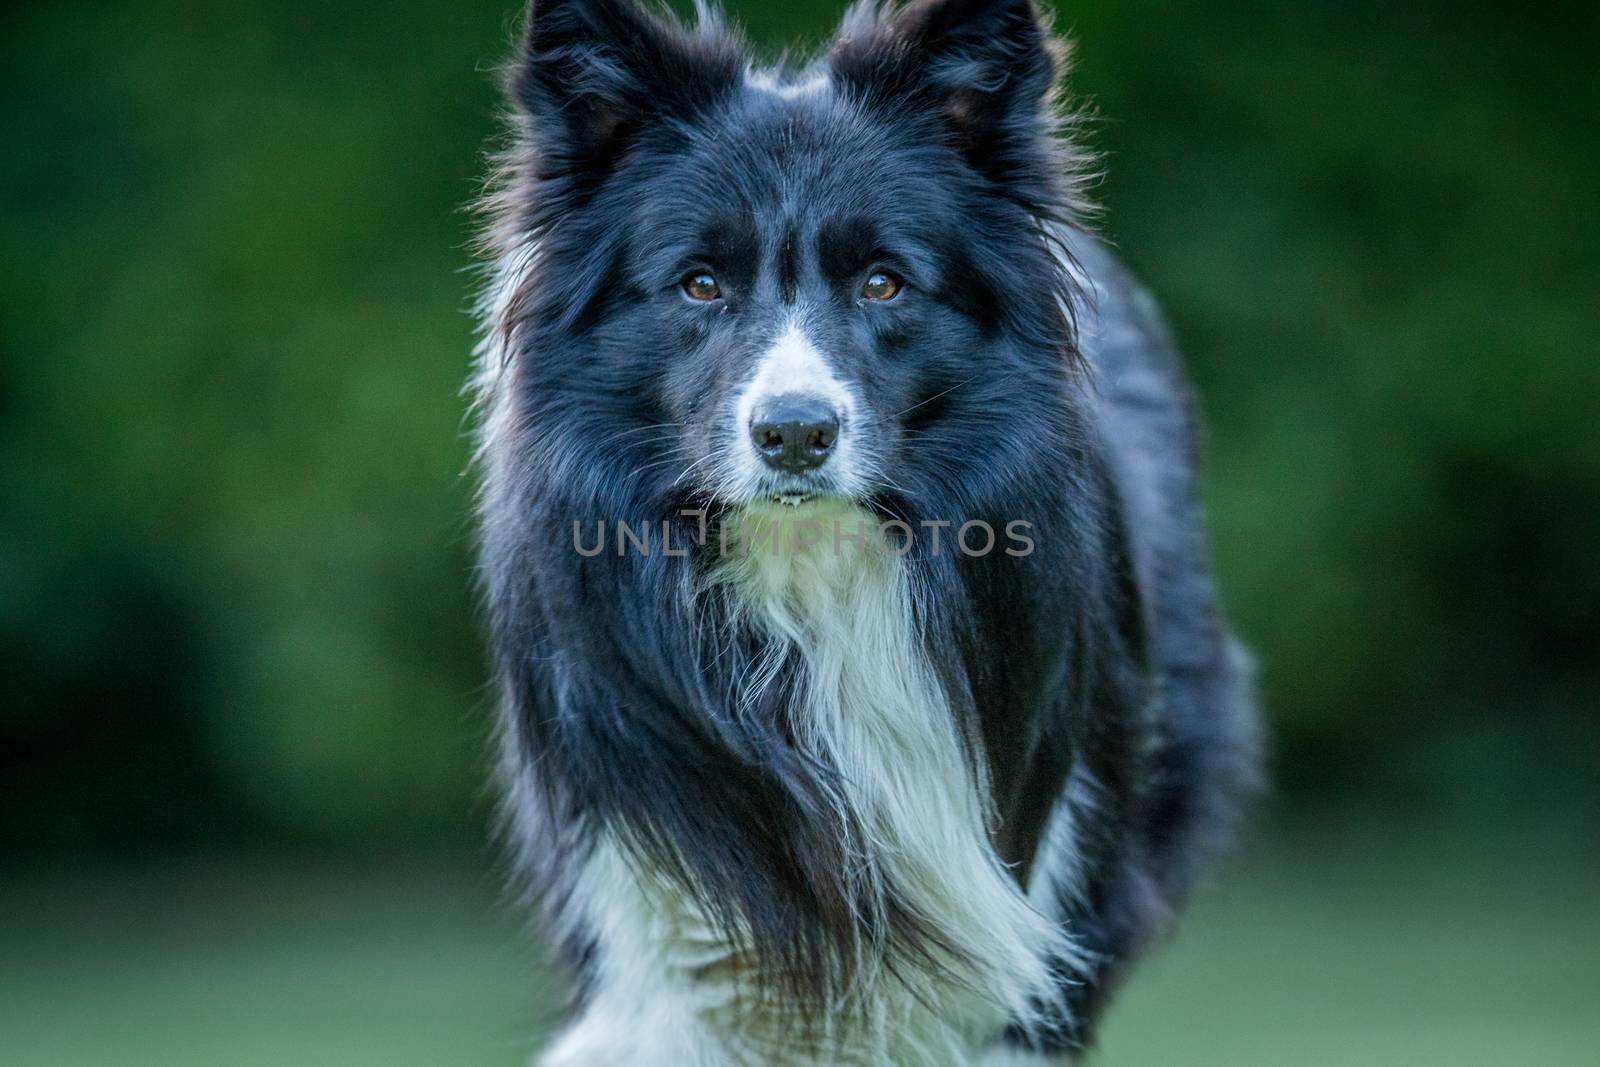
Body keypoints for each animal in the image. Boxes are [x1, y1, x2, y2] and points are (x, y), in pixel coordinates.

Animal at [473, 0, 1260, 1062]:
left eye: (884, 284)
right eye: (700, 284)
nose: (795, 434)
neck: (809, 571)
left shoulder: (1028, 919)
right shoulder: (655, 933)